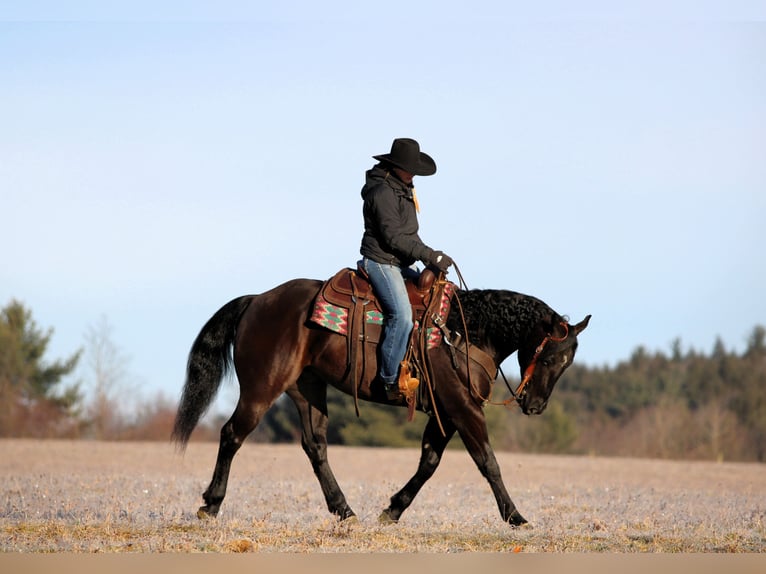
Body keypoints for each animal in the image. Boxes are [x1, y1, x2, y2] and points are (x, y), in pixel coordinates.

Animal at [172, 274, 590, 526]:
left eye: (568, 362)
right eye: (549, 358)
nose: (535, 406)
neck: (464, 331)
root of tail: (257, 300)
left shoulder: (445, 413)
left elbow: (429, 463)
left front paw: (393, 509)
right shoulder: (462, 407)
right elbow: (488, 462)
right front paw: (515, 516)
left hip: (307, 390)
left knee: (315, 446)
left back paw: (344, 509)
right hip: (262, 388)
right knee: (231, 435)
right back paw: (211, 503)